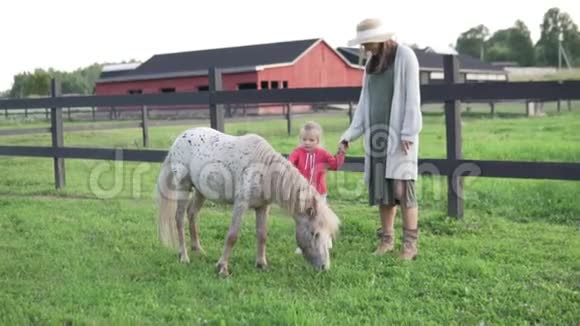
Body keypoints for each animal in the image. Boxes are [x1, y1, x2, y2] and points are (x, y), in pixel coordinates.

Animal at [156, 127, 342, 276]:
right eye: (314, 233)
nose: (325, 267)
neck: (264, 170)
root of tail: (179, 139)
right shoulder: (241, 204)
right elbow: (232, 235)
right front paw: (222, 267)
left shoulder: (262, 207)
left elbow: (262, 235)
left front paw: (261, 264)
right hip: (183, 186)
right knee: (179, 219)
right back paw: (184, 256)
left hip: (201, 191)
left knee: (192, 213)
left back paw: (198, 249)